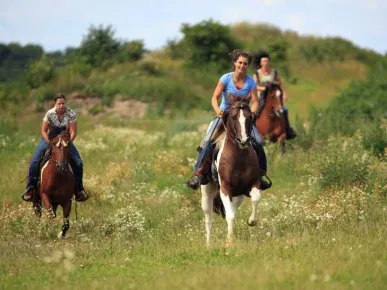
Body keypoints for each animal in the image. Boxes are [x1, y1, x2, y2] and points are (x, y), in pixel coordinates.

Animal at [200, 94, 264, 247]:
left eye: (250, 117)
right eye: (234, 117)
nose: (244, 140)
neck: (238, 158)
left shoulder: (253, 184)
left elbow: (255, 198)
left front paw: (252, 221)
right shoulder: (225, 189)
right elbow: (230, 215)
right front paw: (229, 241)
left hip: (238, 195)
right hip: (206, 193)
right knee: (208, 218)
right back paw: (208, 245)